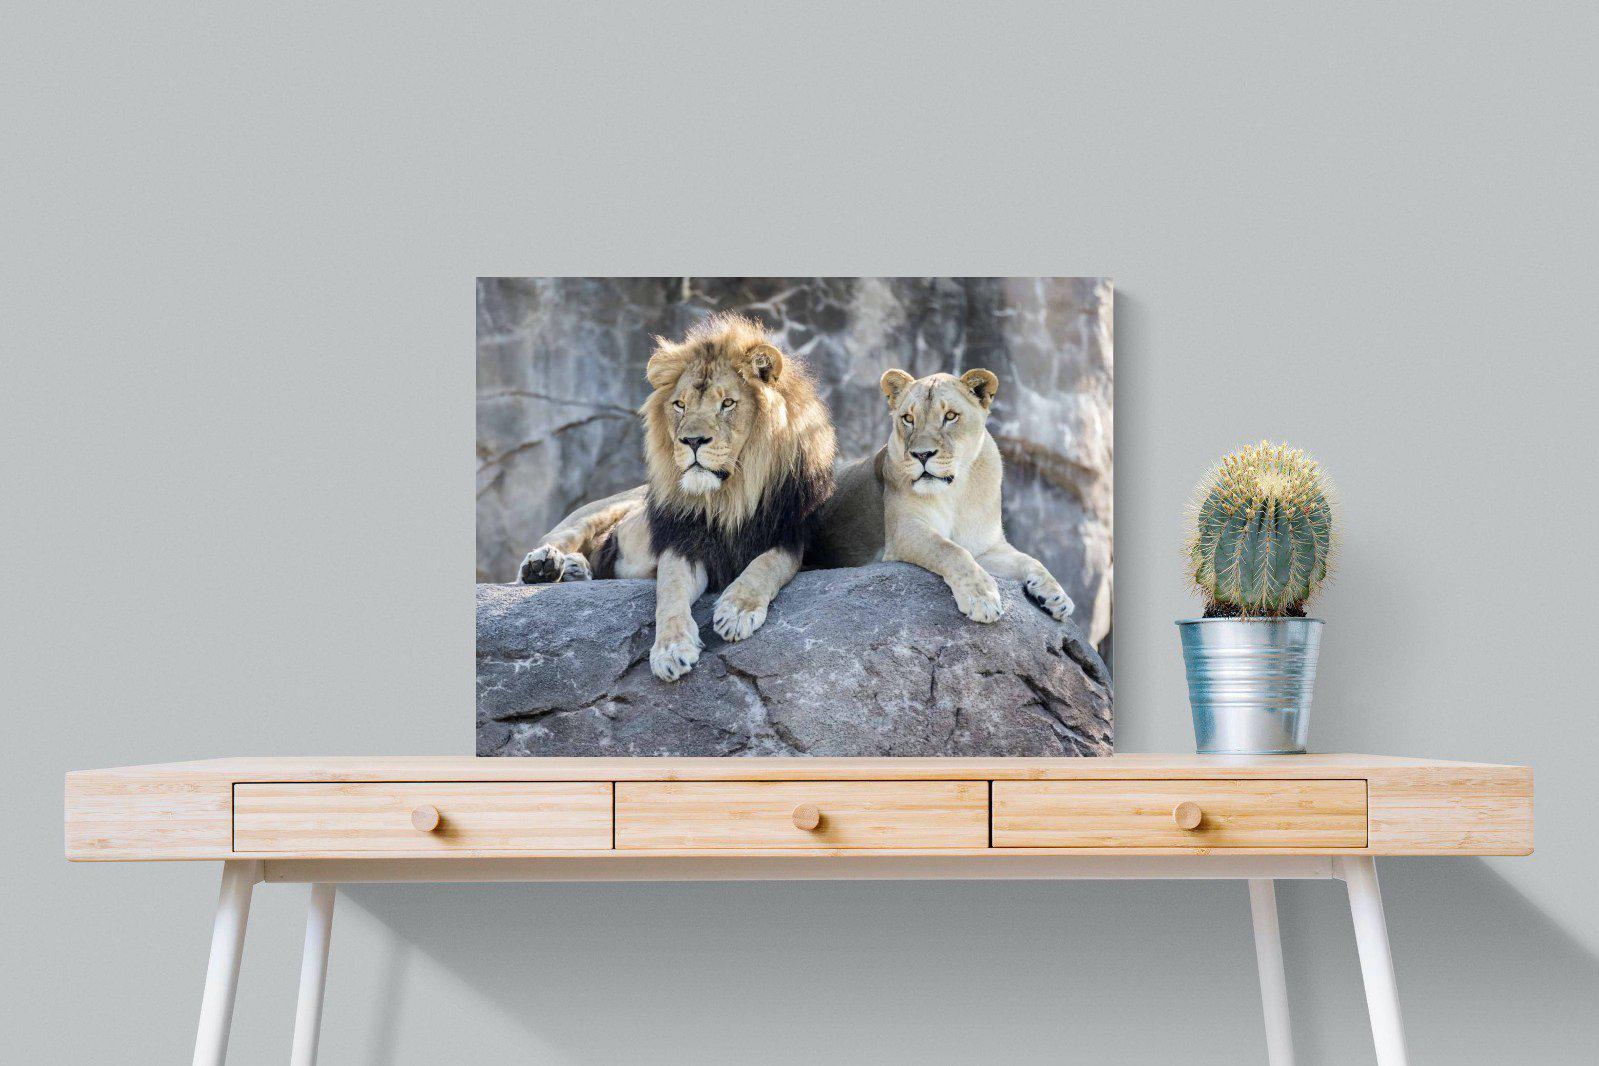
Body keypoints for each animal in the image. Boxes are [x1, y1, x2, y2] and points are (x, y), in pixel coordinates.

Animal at [516, 314, 836, 681]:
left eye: (727, 403)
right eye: (680, 405)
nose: (692, 441)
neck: (728, 497)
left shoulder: (792, 537)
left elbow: (766, 565)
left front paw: (737, 610)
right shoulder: (683, 542)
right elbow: (669, 592)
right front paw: (670, 650)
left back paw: (573, 569)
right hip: (597, 511)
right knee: (557, 540)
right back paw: (544, 565)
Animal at [808, 368, 1074, 625]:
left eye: (950, 416)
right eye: (908, 418)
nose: (922, 454)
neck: (956, 492)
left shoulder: (986, 547)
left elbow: (1030, 560)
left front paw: (1057, 596)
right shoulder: (904, 531)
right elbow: (950, 550)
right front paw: (981, 598)